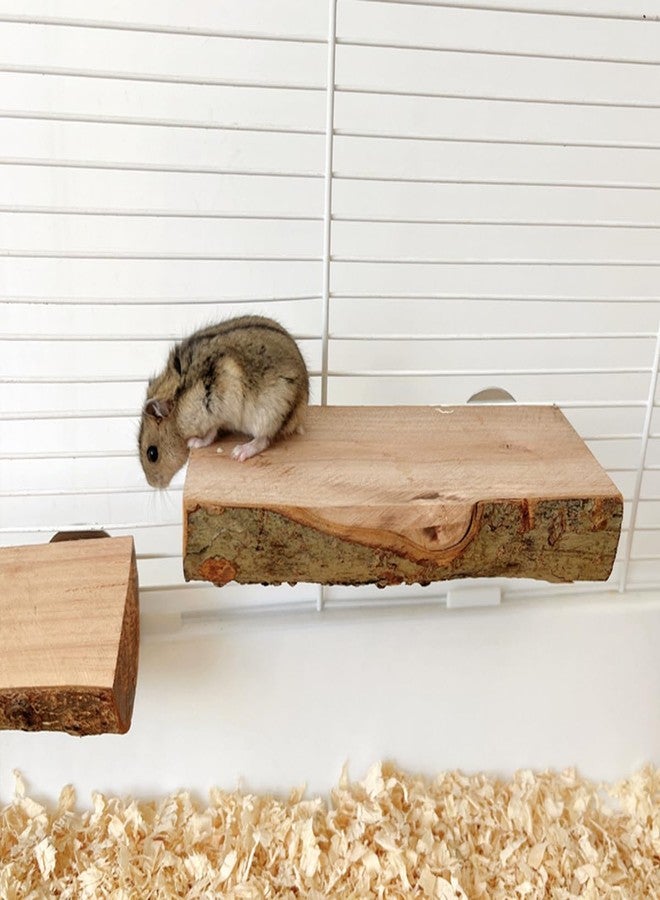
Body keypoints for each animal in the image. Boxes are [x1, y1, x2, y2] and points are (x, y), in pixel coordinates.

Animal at [138, 315, 309, 488]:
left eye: (152, 454)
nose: (153, 484)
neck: (178, 403)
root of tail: (301, 407)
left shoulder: (214, 414)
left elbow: (210, 434)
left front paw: (193, 443)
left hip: (269, 413)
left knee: (264, 439)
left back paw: (239, 452)